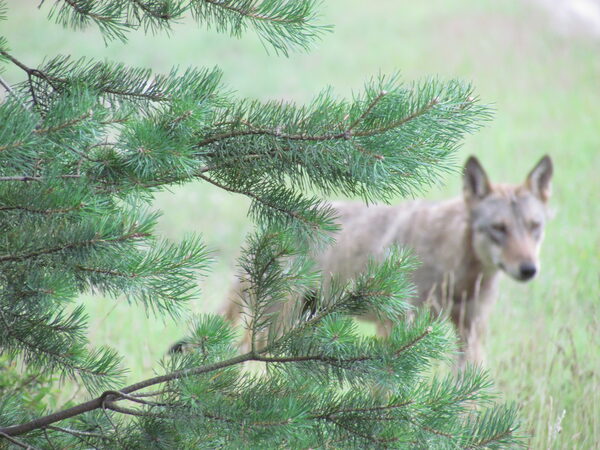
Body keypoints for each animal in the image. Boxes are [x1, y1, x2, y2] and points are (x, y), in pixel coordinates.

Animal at [223, 154, 556, 362]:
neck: (455, 271)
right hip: (272, 328)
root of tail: (269, 223)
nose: (529, 269)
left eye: (534, 227)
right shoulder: (394, 329)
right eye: (499, 228)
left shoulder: (471, 333)